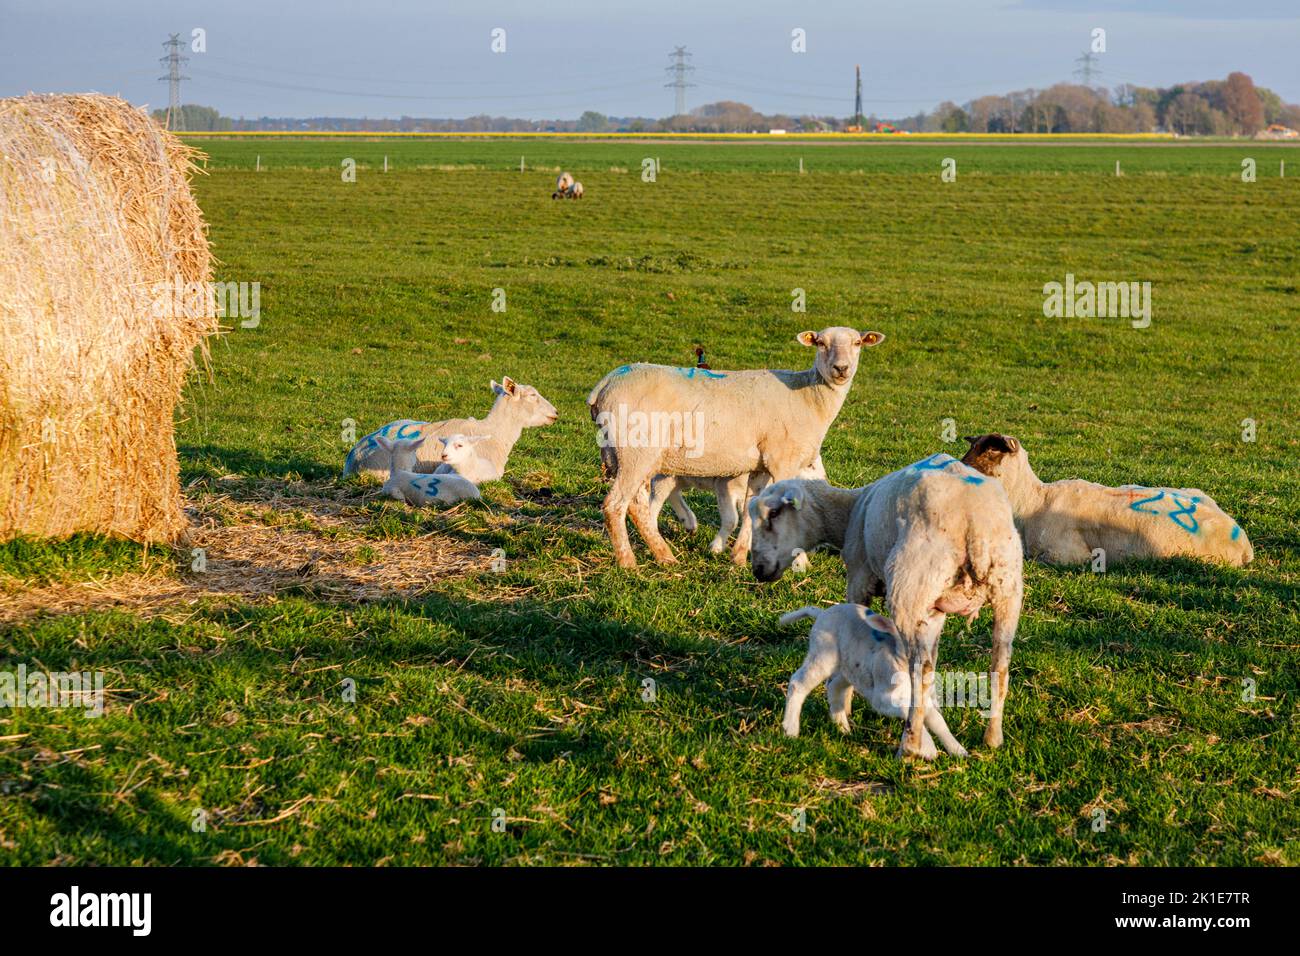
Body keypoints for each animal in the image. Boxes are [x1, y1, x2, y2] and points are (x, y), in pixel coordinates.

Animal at [649, 454, 827, 555]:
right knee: (656, 497)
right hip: (666, 474)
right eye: (809, 465)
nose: (825, 482)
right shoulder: (724, 485)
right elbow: (731, 520)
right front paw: (717, 547)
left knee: (673, 493)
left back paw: (689, 521)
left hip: (681, 476)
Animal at [779, 604, 966, 758]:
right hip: (823, 655)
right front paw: (929, 749)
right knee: (798, 684)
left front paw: (959, 751)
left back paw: (843, 729)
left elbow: (938, 721)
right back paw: (790, 730)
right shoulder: (883, 699)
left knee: (834, 687)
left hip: (848, 668)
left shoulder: (922, 700)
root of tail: (821, 613)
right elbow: (908, 713)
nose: (924, 659)